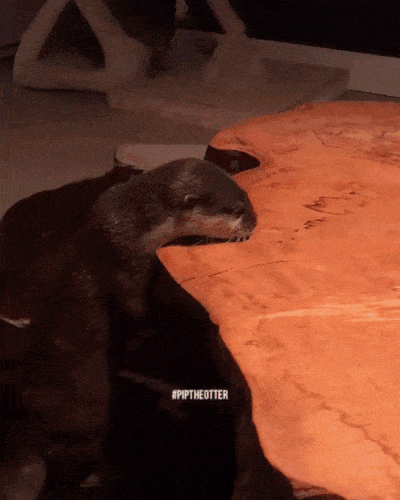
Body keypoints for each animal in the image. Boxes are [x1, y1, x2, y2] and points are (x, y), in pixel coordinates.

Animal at [1, 159, 295, 500]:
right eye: (234, 210)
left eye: (247, 198)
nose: (254, 223)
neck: (135, 229)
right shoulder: (127, 264)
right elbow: (139, 309)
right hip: (80, 420)